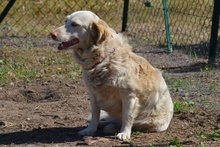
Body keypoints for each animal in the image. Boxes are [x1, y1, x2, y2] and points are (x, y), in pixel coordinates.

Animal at [50, 10, 173, 141]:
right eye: (66, 21)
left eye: (74, 24)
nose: (52, 34)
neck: (103, 60)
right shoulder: (93, 94)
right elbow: (95, 116)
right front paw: (90, 130)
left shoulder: (129, 95)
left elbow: (127, 117)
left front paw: (124, 133)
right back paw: (104, 124)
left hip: (149, 121)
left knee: (130, 123)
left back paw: (111, 127)